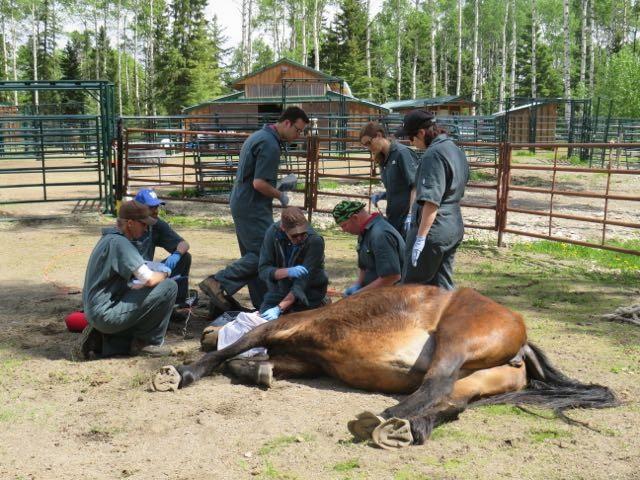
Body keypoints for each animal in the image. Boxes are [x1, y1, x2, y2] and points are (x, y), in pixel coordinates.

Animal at [152, 284, 616, 450]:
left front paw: (182, 374)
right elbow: (246, 364)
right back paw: (406, 428)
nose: (200, 329)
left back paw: (384, 417)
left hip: (456, 341)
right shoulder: (299, 360)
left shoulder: (279, 329)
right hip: (476, 380)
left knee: (434, 384)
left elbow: (231, 353)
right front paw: (257, 374)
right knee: (448, 402)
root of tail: (522, 338)